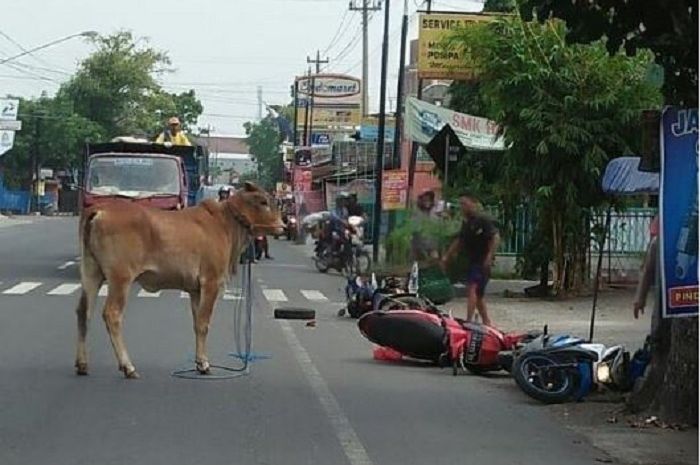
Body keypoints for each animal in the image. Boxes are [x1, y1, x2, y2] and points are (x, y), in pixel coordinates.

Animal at [75, 181, 284, 376]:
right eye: (263, 202)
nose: (283, 226)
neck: (226, 223)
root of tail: (99, 210)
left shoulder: (195, 290)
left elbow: (196, 323)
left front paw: (199, 361)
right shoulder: (211, 282)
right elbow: (204, 323)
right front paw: (204, 364)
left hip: (91, 272)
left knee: (83, 312)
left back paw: (82, 364)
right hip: (120, 278)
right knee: (111, 314)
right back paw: (128, 366)